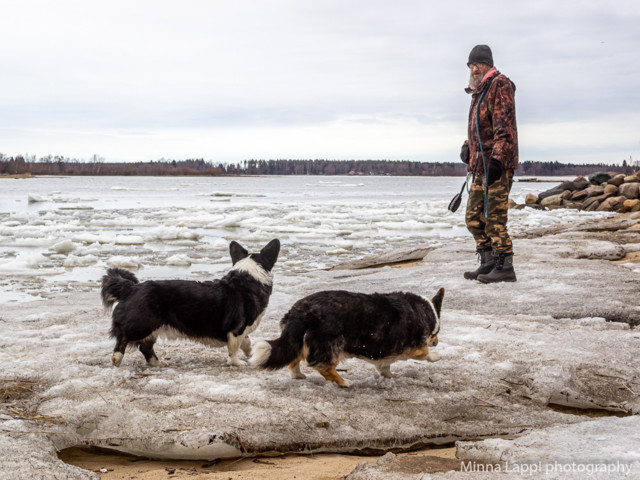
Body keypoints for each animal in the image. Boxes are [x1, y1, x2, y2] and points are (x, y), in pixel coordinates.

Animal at [101, 239, 278, 368]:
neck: (248, 278)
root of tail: (130, 288)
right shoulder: (236, 329)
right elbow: (233, 349)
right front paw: (238, 362)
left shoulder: (241, 330)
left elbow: (246, 341)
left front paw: (250, 353)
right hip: (143, 323)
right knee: (123, 336)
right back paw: (116, 358)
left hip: (152, 328)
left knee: (145, 347)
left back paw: (158, 363)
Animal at [251, 286, 444, 388]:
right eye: (436, 334)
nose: (436, 342)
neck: (426, 312)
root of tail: (301, 312)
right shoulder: (416, 347)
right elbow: (426, 354)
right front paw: (436, 356)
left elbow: (385, 366)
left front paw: (390, 376)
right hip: (332, 344)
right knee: (324, 368)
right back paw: (345, 382)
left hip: (298, 340)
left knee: (294, 359)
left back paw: (298, 375)